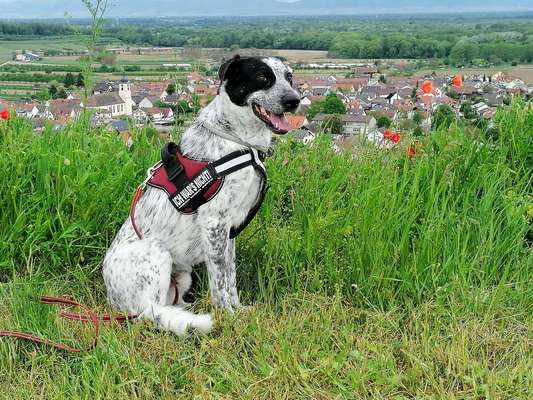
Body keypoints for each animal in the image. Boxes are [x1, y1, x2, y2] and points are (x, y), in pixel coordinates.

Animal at [103, 56, 300, 336]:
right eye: (263, 77)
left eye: (289, 77)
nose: (294, 100)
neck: (238, 140)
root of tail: (113, 299)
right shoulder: (215, 223)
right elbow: (219, 282)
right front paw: (228, 318)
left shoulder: (229, 232)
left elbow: (230, 278)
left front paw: (238, 310)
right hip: (157, 253)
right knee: (152, 313)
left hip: (182, 276)